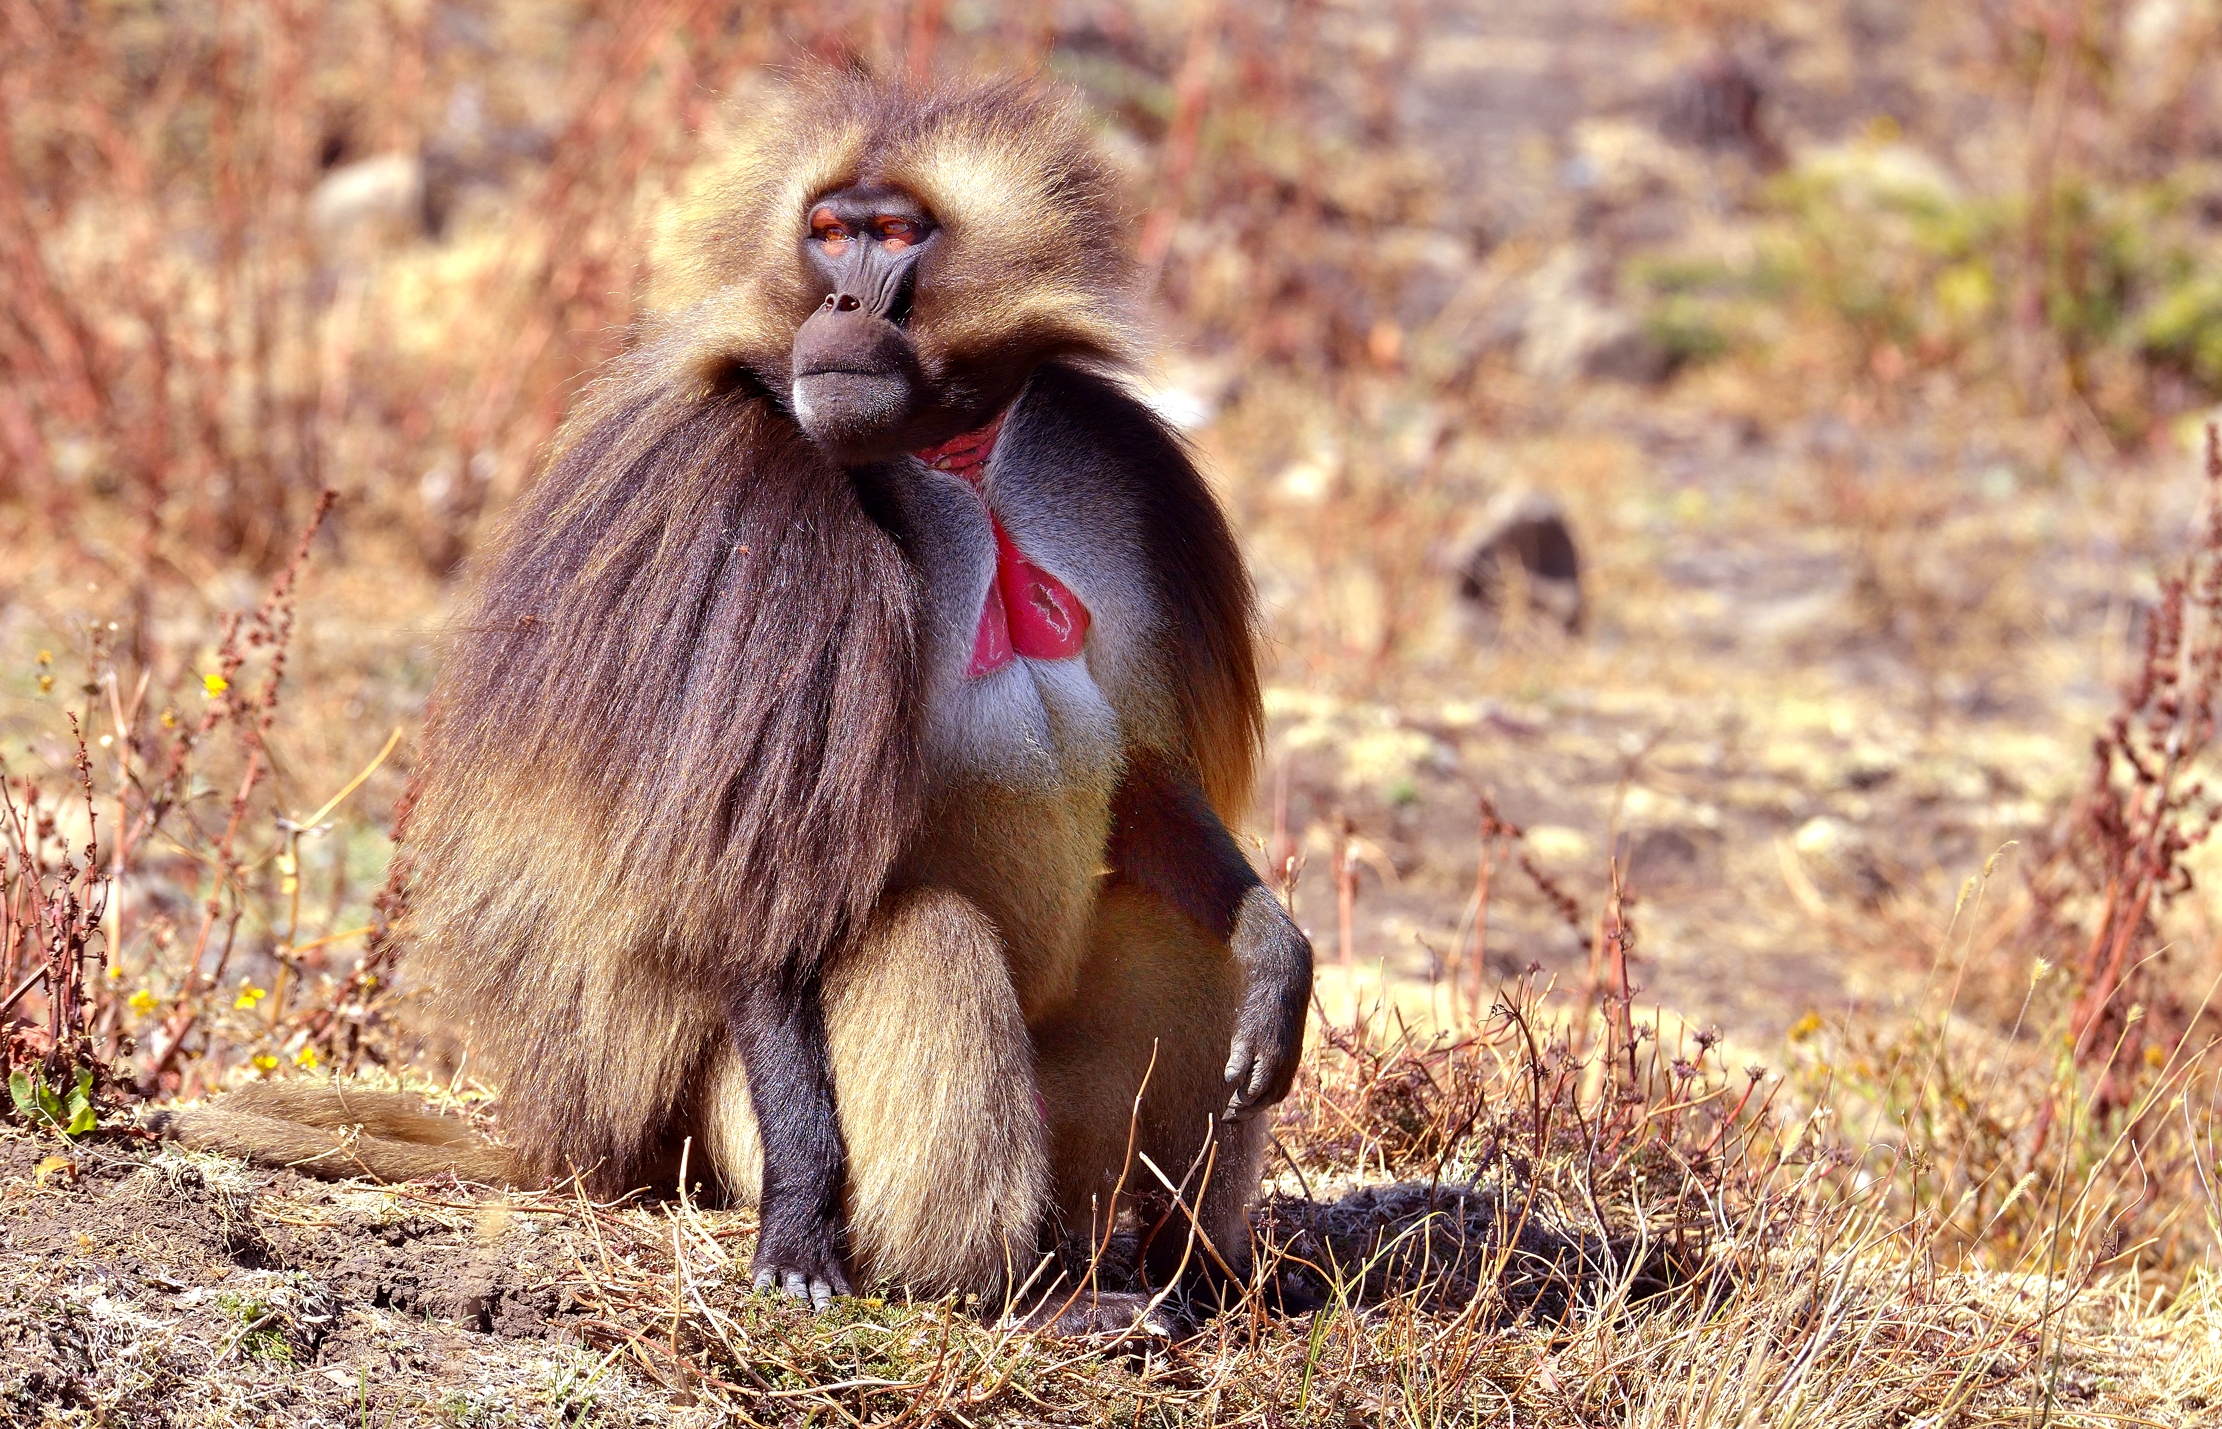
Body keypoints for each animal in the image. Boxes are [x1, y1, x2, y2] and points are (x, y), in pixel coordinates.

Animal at [161, 72, 1313, 1333]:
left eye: (895, 233)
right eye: (827, 233)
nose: (846, 299)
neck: (954, 458)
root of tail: (589, 1149)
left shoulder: (1114, 471)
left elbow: (1147, 786)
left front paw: (1277, 949)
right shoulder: (762, 516)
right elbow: (756, 900)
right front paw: (803, 1220)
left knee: (1184, 943)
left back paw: (1191, 1269)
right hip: (715, 1134)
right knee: (931, 943)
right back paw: (1020, 1296)